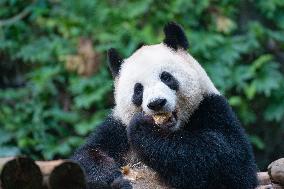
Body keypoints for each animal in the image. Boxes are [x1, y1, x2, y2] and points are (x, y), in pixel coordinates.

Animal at [72, 22, 258, 189]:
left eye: (166, 77)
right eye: (138, 90)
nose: (156, 103)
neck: (171, 129)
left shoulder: (211, 107)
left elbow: (228, 159)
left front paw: (143, 128)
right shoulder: (117, 129)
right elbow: (88, 154)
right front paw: (107, 176)